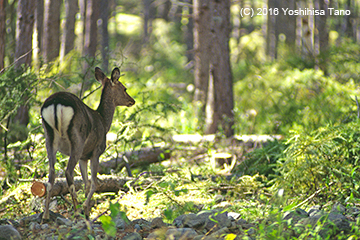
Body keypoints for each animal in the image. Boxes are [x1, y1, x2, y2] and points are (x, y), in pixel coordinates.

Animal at [39, 67, 135, 221]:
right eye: (124, 88)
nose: (132, 100)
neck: (104, 122)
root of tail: (56, 104)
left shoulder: (84, 157)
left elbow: (86, 183)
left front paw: (88, 212)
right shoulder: (96, 151)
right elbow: (94, 182)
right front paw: (85, 208)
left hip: (49, 138)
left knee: (51, 175)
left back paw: (46, 215)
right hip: (77, 139)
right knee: (68, 172)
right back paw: (76, 212)